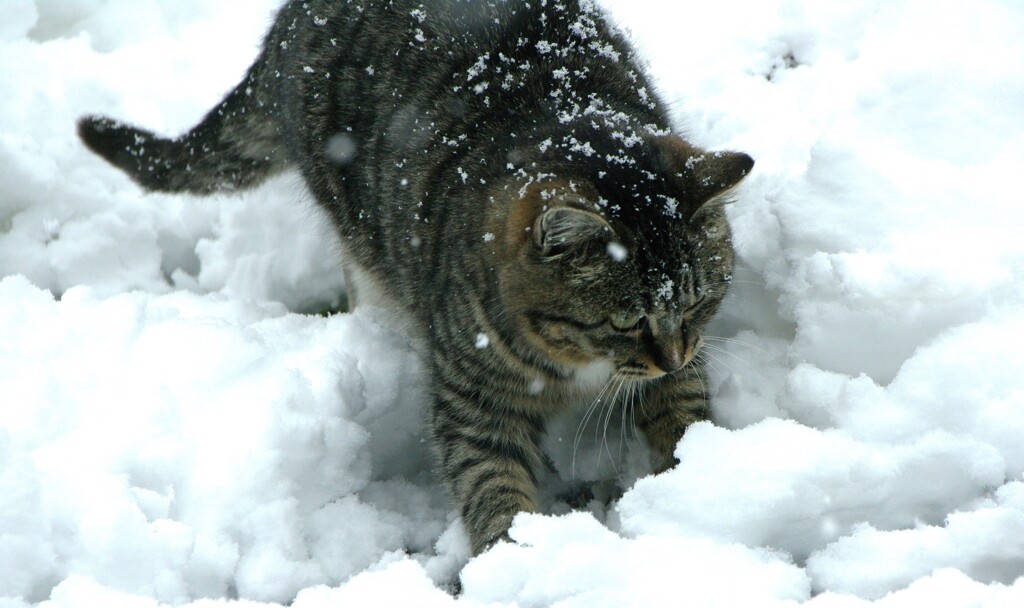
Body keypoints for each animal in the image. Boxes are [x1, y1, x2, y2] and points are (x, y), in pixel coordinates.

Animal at [77, 0, 753, 552]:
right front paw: (515, 558)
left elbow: (684, 416)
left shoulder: (685, 360)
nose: (670, 354)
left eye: (697, 303)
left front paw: (693, 483)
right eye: (626, 320)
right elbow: (492, 484)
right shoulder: (474, 399)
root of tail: (288, 20)